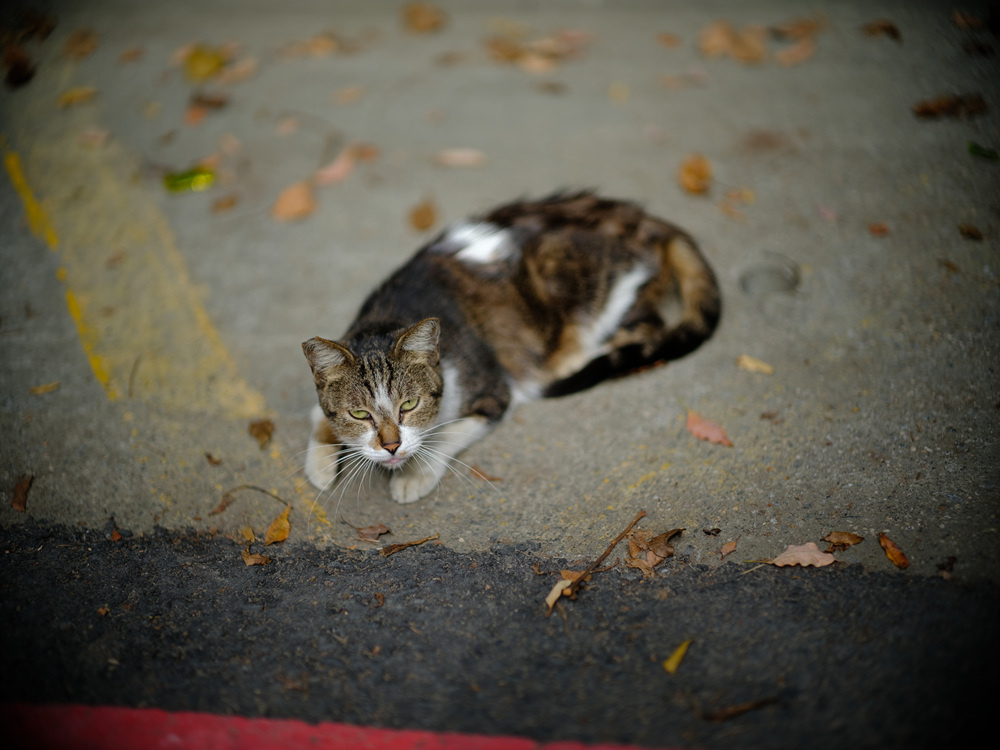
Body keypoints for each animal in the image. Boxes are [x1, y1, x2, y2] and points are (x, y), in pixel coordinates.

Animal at [302, 192, 720, 506]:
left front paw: (416, 474)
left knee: (646, 325)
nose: (391, 447)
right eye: (360, 414)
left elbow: (448, 435)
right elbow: (317, 414)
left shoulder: (493, 391)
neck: (387, 319)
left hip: (581, 275)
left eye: (409, 405)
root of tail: (643, 218)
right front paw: (320, 462)